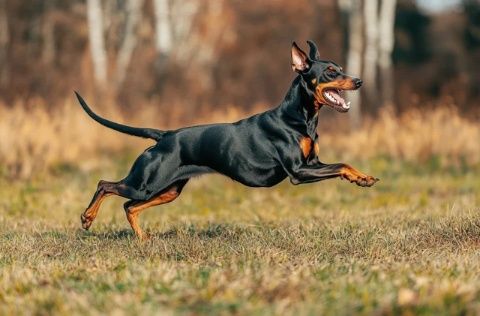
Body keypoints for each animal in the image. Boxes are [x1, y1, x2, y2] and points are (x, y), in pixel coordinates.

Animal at [76, 41, 378, 239]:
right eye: (330, 72)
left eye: (341, 68)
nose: (359, 81)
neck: (300, 116)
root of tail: (164, 136)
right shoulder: (299, 171)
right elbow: (341, 164)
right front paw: (360, 178)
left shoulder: (312, 163)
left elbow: (343, 164)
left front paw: (362, 177)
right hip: (147, 183)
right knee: (106, 185)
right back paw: (88, 218)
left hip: (168, 190)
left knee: (129, 206)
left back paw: (142, 238)